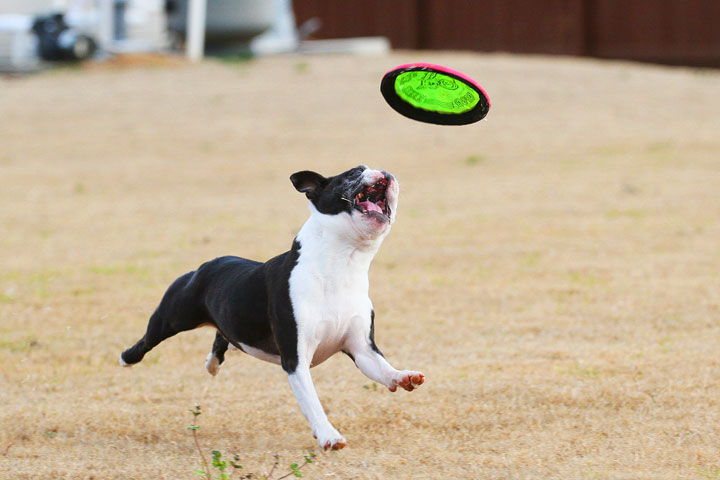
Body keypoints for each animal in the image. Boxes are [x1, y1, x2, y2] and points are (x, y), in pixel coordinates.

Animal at [120, 165, 424, 450]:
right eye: (353, 173)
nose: (383, 171)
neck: (344, 262)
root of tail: (209, 264)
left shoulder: (361, 348)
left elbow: (383, 369)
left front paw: (403, 377)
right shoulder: (296, 359)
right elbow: (313, 403)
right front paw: (329, 436)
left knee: (222, 336)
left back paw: (213, 364)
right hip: (173, 317)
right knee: (148, 340)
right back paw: (127, 357)